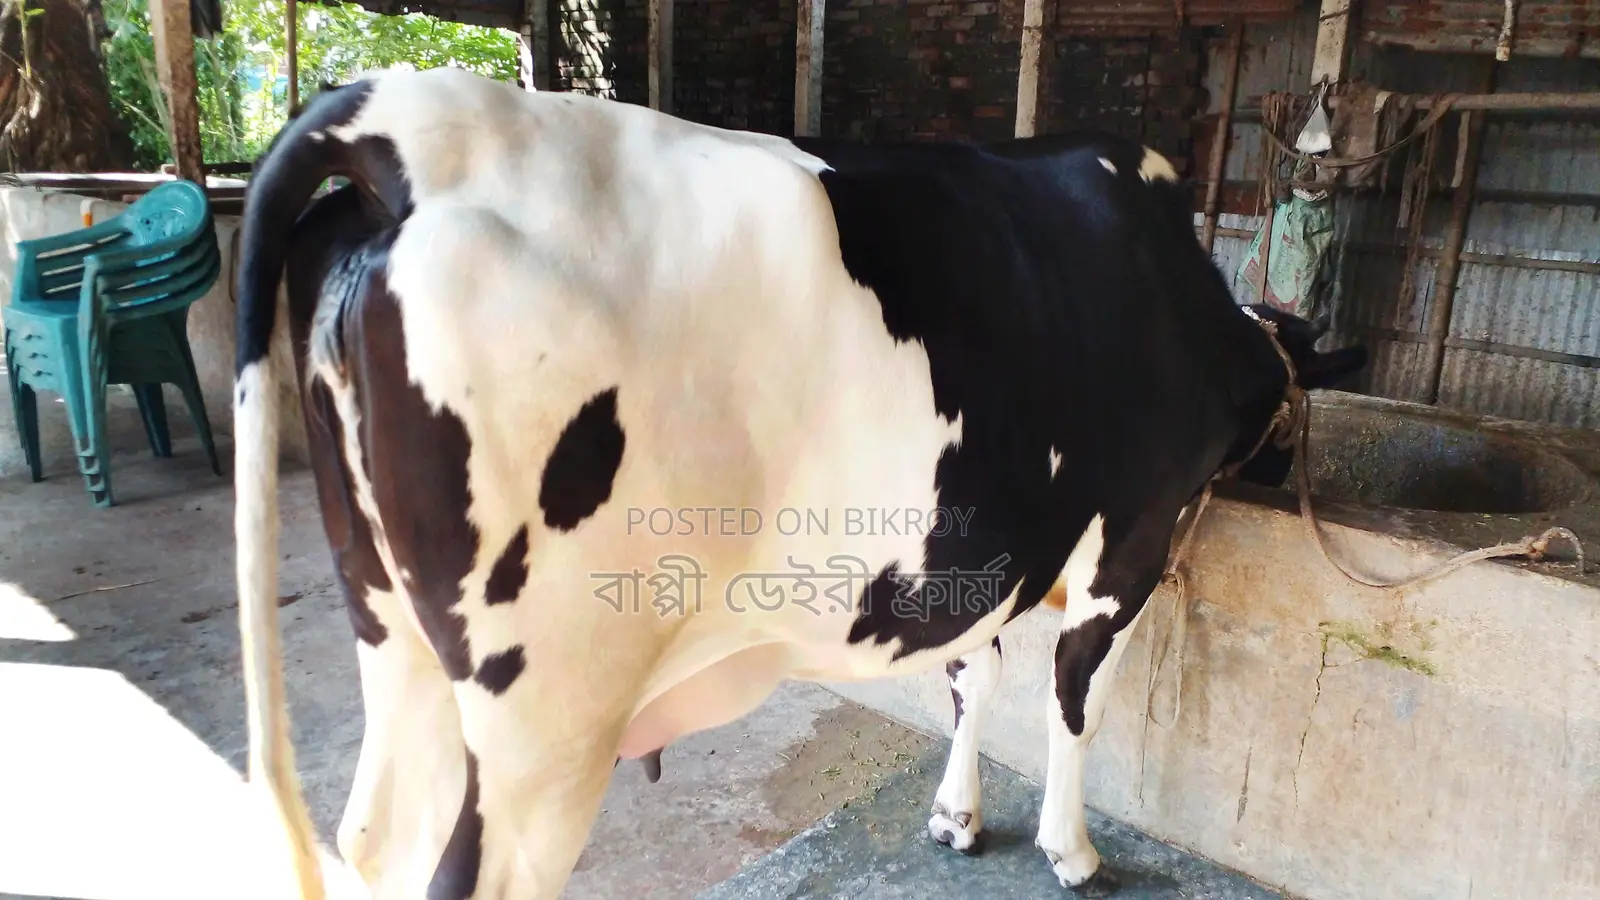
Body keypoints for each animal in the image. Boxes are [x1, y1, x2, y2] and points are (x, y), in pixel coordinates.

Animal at [231, 66, 1367, 900]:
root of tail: (410, 124)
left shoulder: (973, 548)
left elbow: (975, 675)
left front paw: (956, 816)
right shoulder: (1126, 539)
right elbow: (1072, 696)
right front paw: (1071, 850)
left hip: (393, 631)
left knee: (378, 832)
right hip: (545, 713)